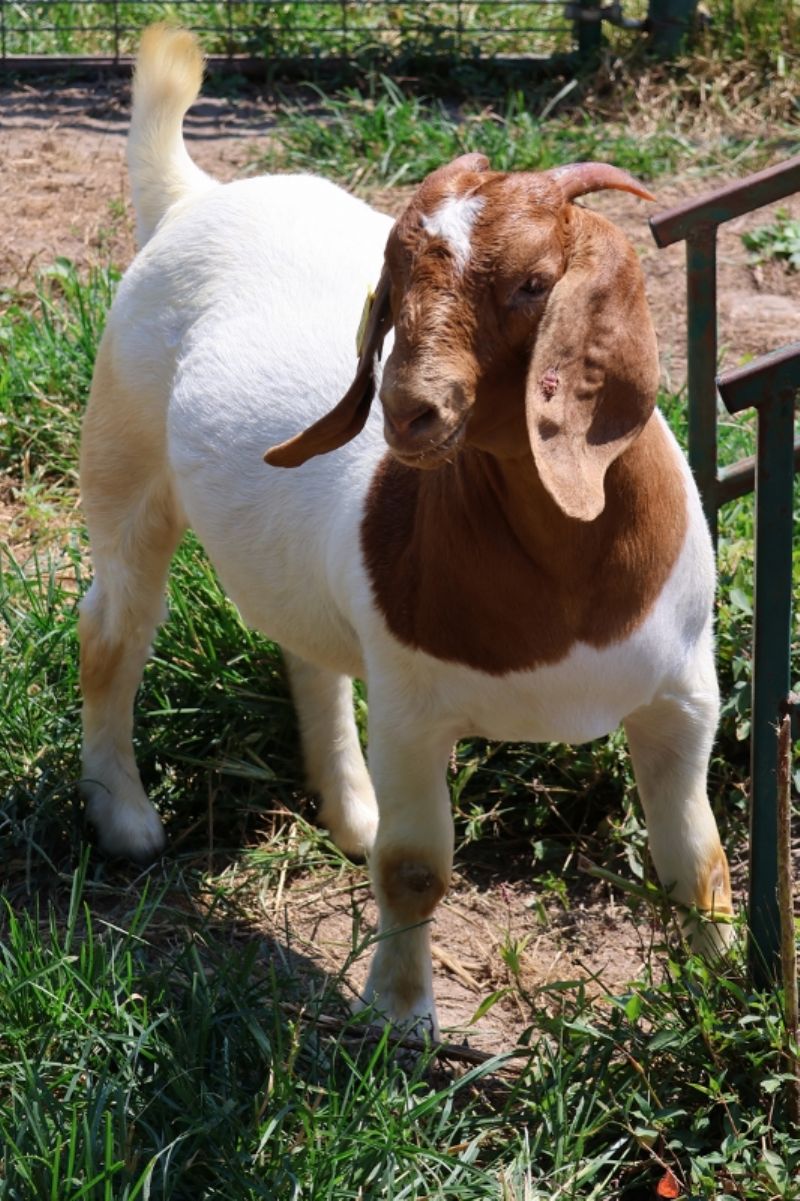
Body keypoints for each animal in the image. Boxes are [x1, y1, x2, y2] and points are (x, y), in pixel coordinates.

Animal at [79, 24, 733, 1035]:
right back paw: (127, 821)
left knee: (306, 651)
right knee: (110, 629)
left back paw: (350, 813)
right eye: (393, 285)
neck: (565, 585)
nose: (407, 408)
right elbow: (417, 868)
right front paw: (398, 1019)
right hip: (126, 463)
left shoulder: (685, 698)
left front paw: (733, 992)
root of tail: (195, 195)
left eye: (534, 284)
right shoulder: (415, 712)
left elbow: (696, 864)